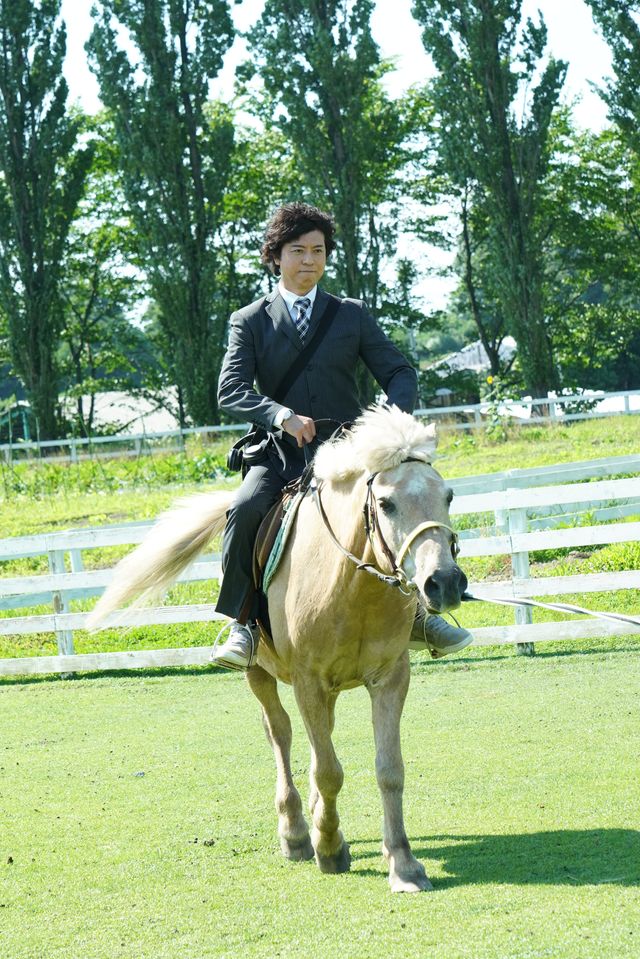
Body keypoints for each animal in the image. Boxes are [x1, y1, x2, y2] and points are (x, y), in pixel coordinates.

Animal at [88, 406, 468, 892]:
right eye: (386, 503)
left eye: (448, 496)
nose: (445, 582)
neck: (352, 584)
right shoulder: (307, 681)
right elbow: (328, 770)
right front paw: (328, 847)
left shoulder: (389, 679)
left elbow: (389, 770)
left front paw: (402, 863)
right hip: (261, 674)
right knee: (281, 734)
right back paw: (297, 833)